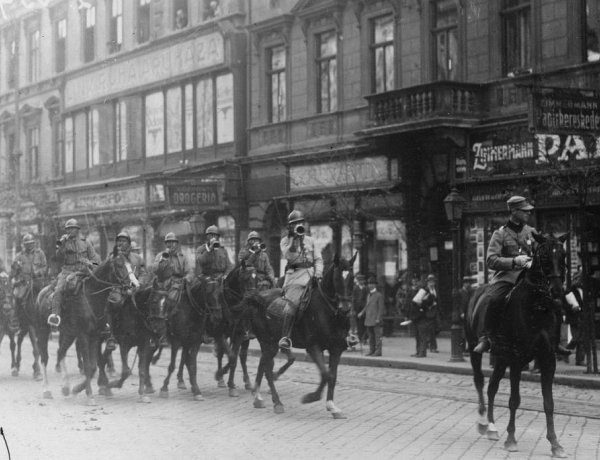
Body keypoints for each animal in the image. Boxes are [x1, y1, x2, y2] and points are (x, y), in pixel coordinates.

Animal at [245, 253, 356, 418]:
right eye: (337, 278)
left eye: (352, 277)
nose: (346, 309)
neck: (328, 312)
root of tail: (258, 296)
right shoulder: (314, 347)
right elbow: (326, 374)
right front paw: (311, 397)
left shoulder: (336, 349)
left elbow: (333, 376)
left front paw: (331, 406)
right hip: (268, 343)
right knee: (267, 370)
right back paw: (277, 402)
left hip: (270, 344)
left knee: (263, 365)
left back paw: (258, 397)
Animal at [464, 232, 568, 458]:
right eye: (544, 256)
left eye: (563, 255)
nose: (556, 291)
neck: (537, 307)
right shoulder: (517, 358)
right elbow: (514, 400)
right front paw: (511, 439)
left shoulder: (548, 359)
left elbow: (549, 403)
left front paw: (555, 444)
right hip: (476, 349)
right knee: (480, 381)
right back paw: (483, 422)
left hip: (501, 357)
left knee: (492, 387)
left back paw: (492, 428)